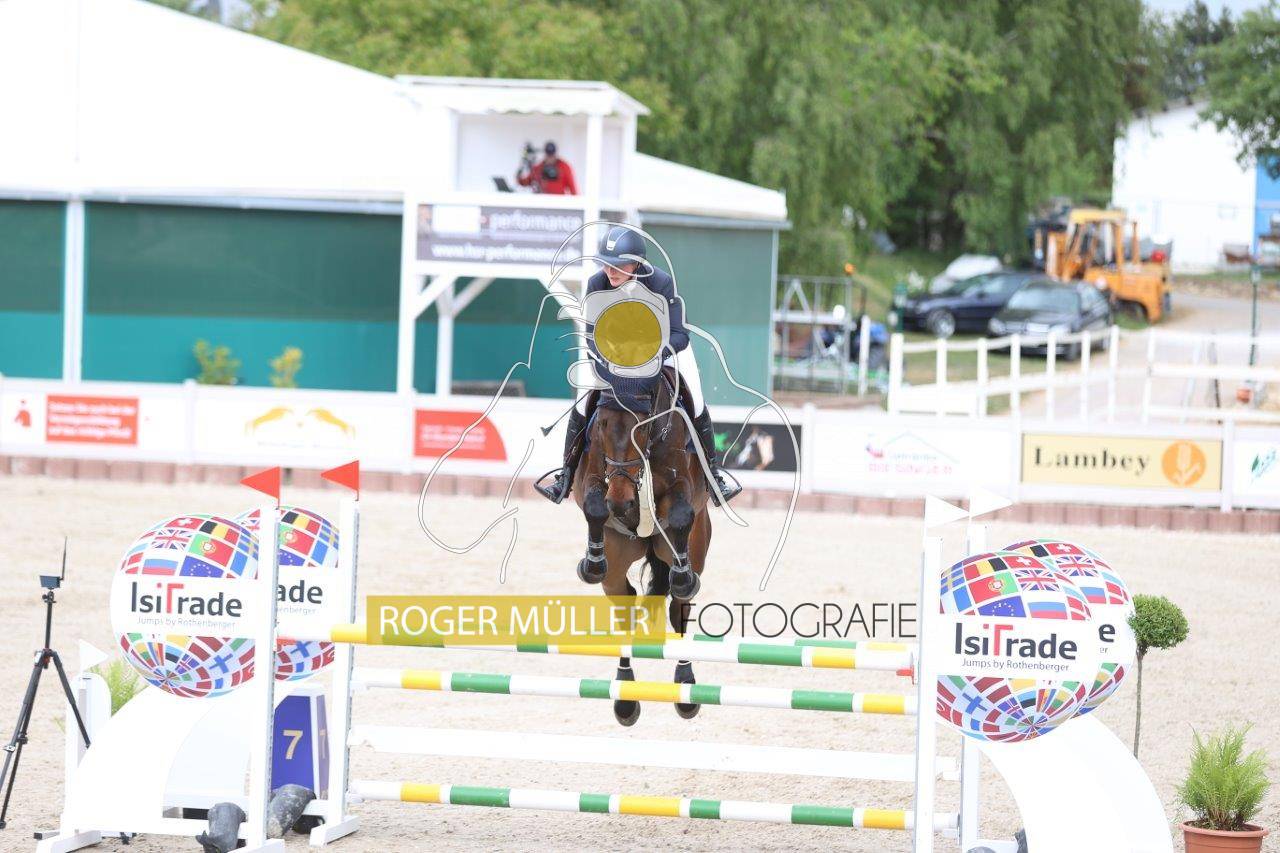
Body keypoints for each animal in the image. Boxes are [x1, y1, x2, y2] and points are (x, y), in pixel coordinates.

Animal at [571, 369, 712, 726]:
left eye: (645, 426)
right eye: (602, 425)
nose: (621, 502)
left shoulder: (682, 485)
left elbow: (680, 513)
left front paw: (682, 578)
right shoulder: (592, 476)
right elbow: (594, 506)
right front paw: (590, 565)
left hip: (689, 547)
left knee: (679, 608)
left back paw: (685, 686)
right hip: (617, 562)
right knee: (626, 606)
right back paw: (625, 697)